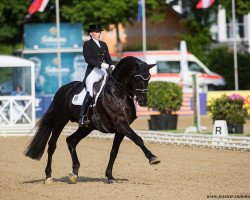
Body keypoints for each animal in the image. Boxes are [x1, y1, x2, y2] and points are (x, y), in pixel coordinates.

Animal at [24, 56, 160, 184]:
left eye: (148, 78)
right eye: (137, 78)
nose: (143, 101)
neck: (118, 93)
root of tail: (63, 89)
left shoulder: (121, 129)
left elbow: (114, 151)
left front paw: (110, 176)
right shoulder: (121, 124)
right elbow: (138, 139)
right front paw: (152, 158)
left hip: (86, 127)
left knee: (71, 141)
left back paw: (74, 173)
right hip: (60, 121)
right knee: (52, 145)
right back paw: (48, 177)